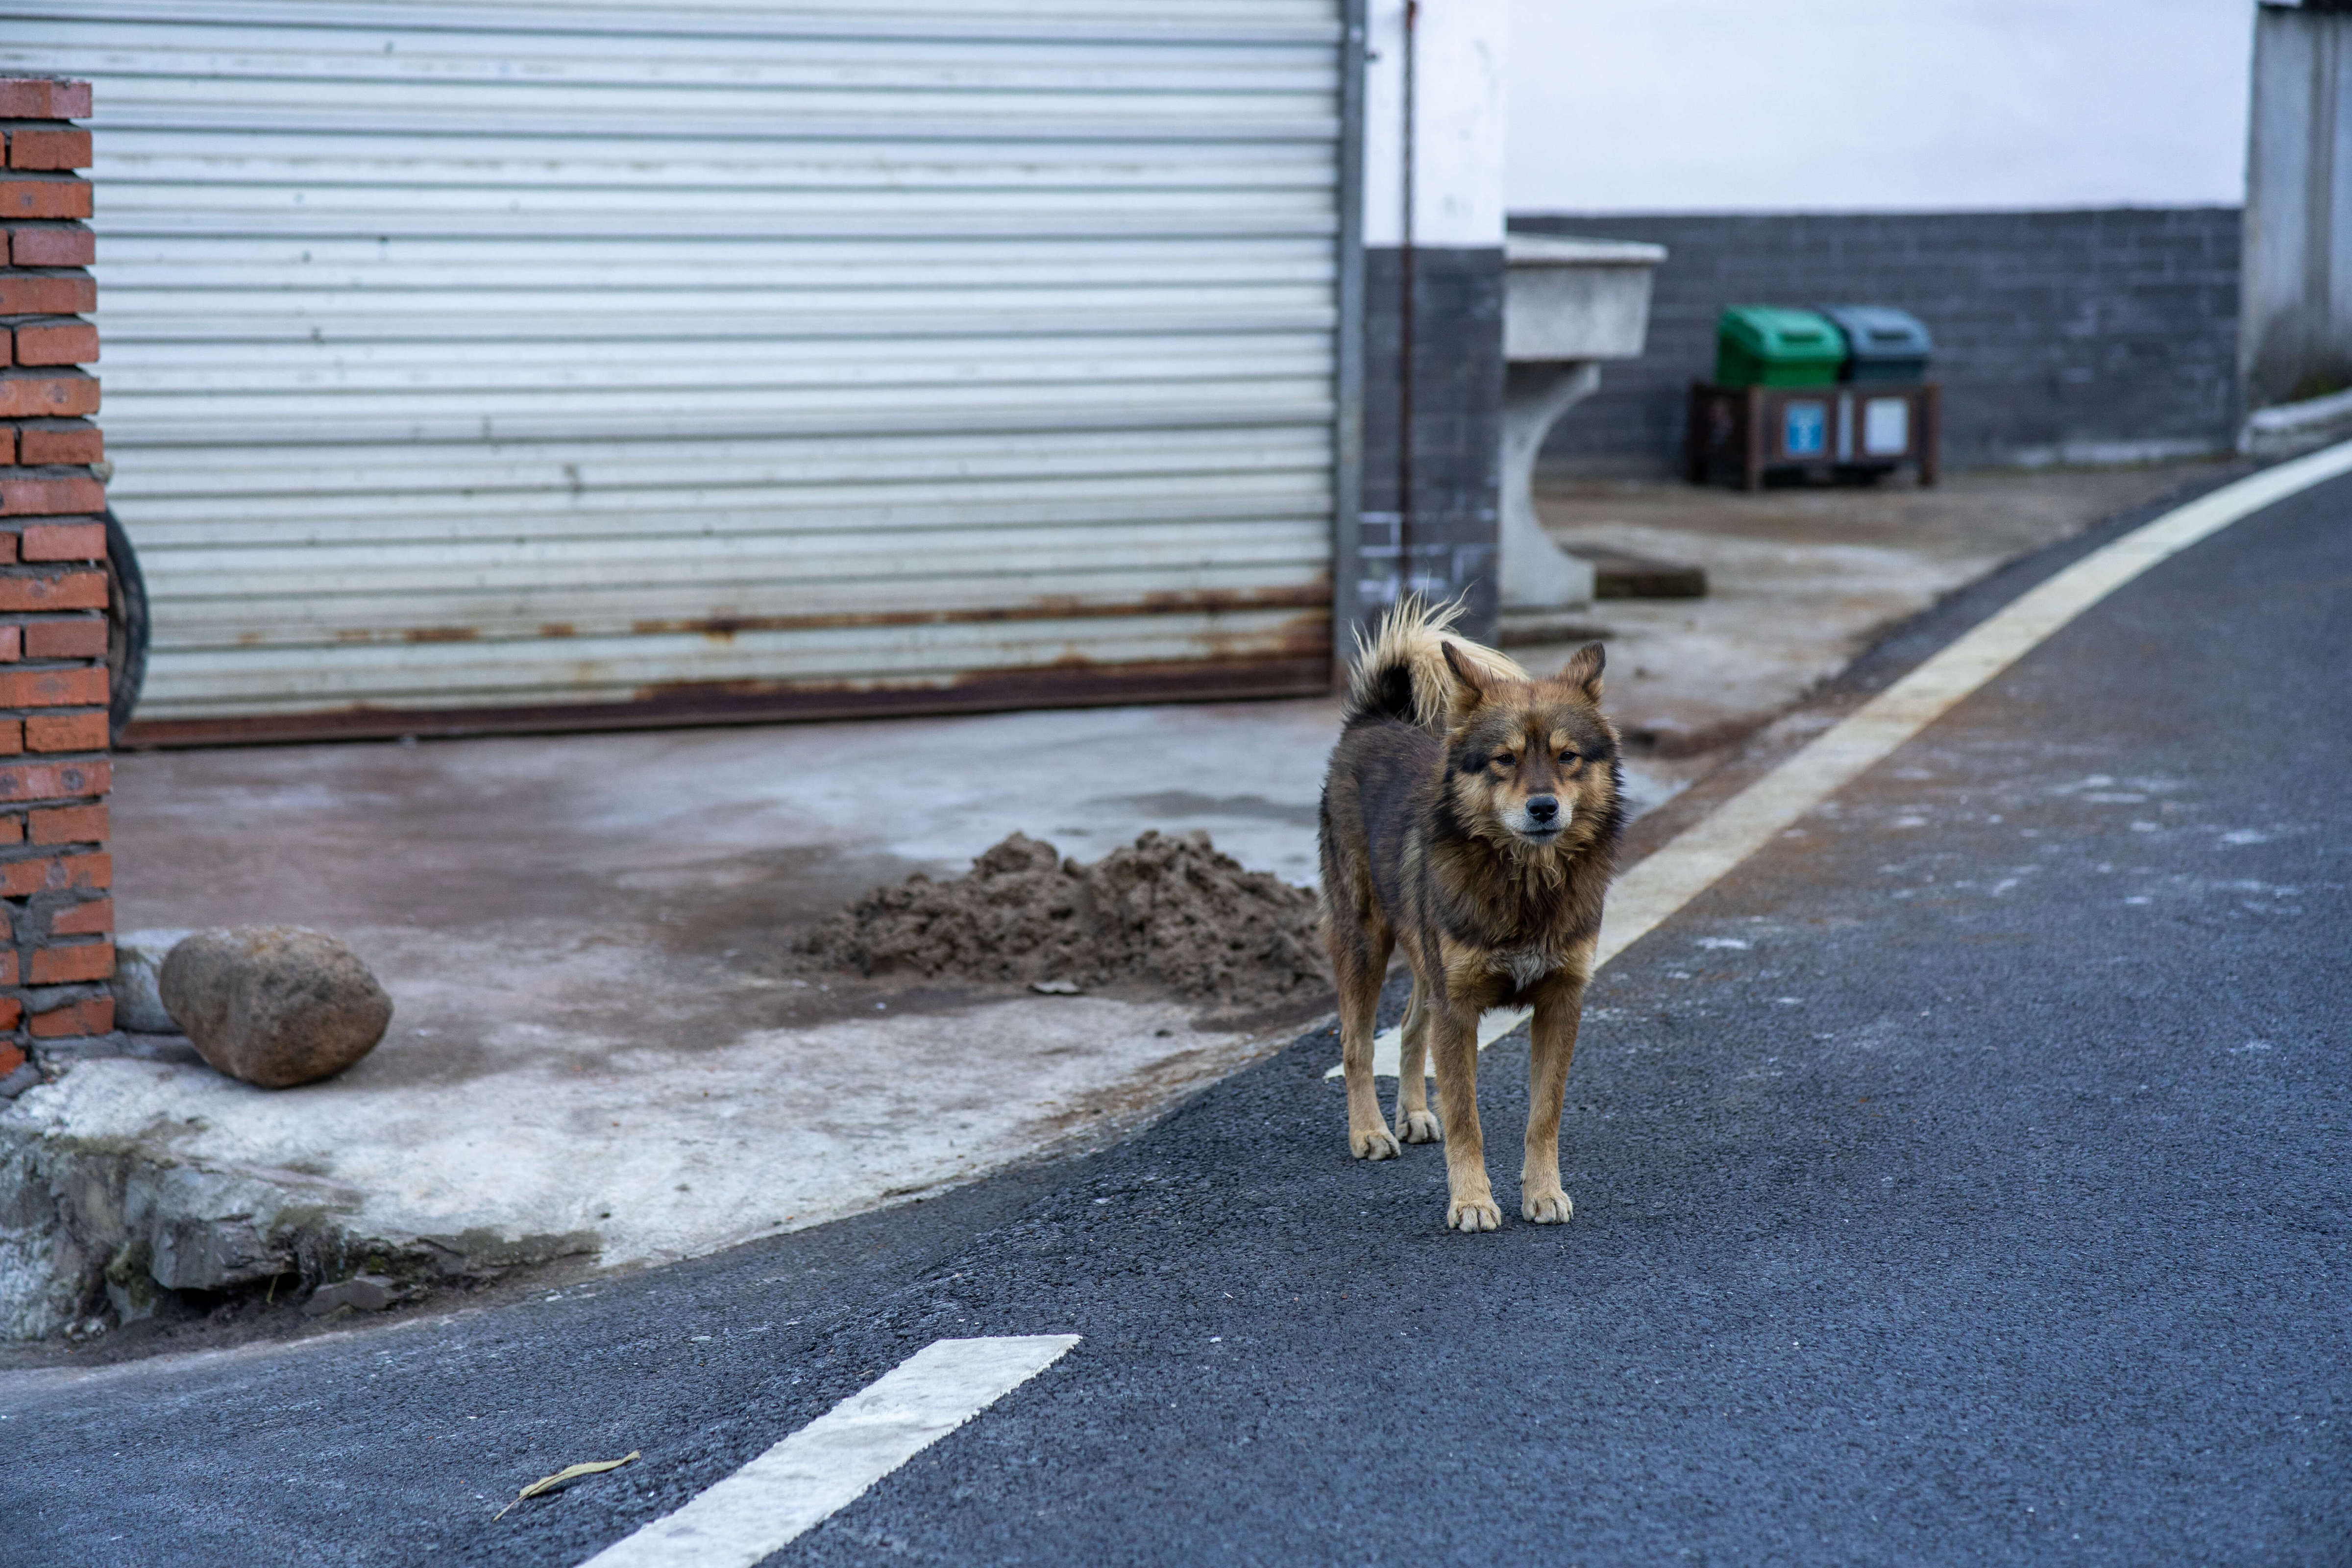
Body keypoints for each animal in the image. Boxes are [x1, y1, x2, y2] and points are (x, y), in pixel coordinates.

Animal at [1317, 597, 1627, 1222]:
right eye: (1504, 759)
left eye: (1568, 756)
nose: (1543, 807)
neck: (1527, 882)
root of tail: (1372, 719)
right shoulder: (1458, 1007)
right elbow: (1467, 1116)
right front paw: (1472, 1201)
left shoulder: (1560, 1002)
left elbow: (1544, 1114)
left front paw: (1543, 1191)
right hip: (1365, 938)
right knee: (1356, 1043)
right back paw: (1369, 1131)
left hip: (1423, 949)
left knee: (1410, 1024)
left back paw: (1412, 1113)